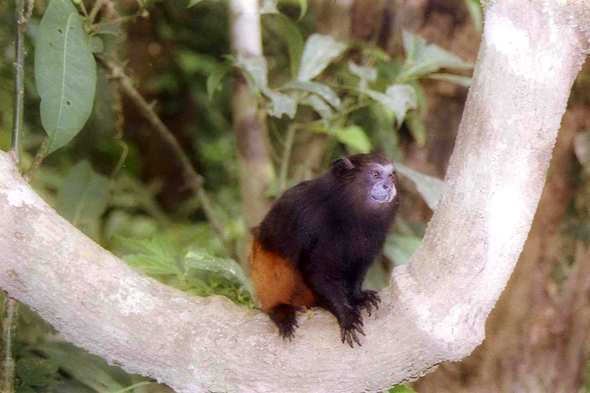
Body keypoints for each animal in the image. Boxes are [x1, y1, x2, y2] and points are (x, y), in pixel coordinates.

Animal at [252, 153, 400, 346]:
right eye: (375, 175)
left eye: (391, 175)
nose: (388, 185)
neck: (346, 210)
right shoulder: (311, 219)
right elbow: (315, 272)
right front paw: (345, 314)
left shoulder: (376, 234)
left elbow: (358, 265)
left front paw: (357, 297)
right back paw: (279, 309)